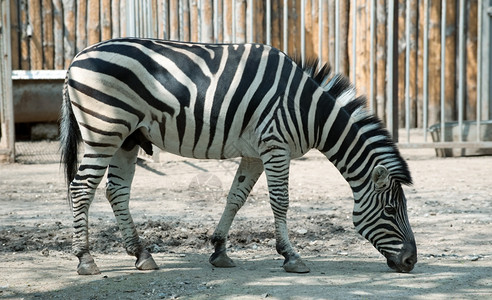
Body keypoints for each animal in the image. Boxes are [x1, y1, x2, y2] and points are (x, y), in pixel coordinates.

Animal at [59, 38, 418, 276]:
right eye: (390, 210)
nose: (411, 262)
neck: (310, 111)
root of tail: (77, 57)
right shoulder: (276, 146)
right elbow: (280, 201)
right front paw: (291, 256)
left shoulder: (254, 154)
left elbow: (236, 197)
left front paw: (219, 249)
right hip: (104, 131)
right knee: (81, 189)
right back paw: (85, 259)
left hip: (127, 138)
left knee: (116, 191)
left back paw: (141, 254)